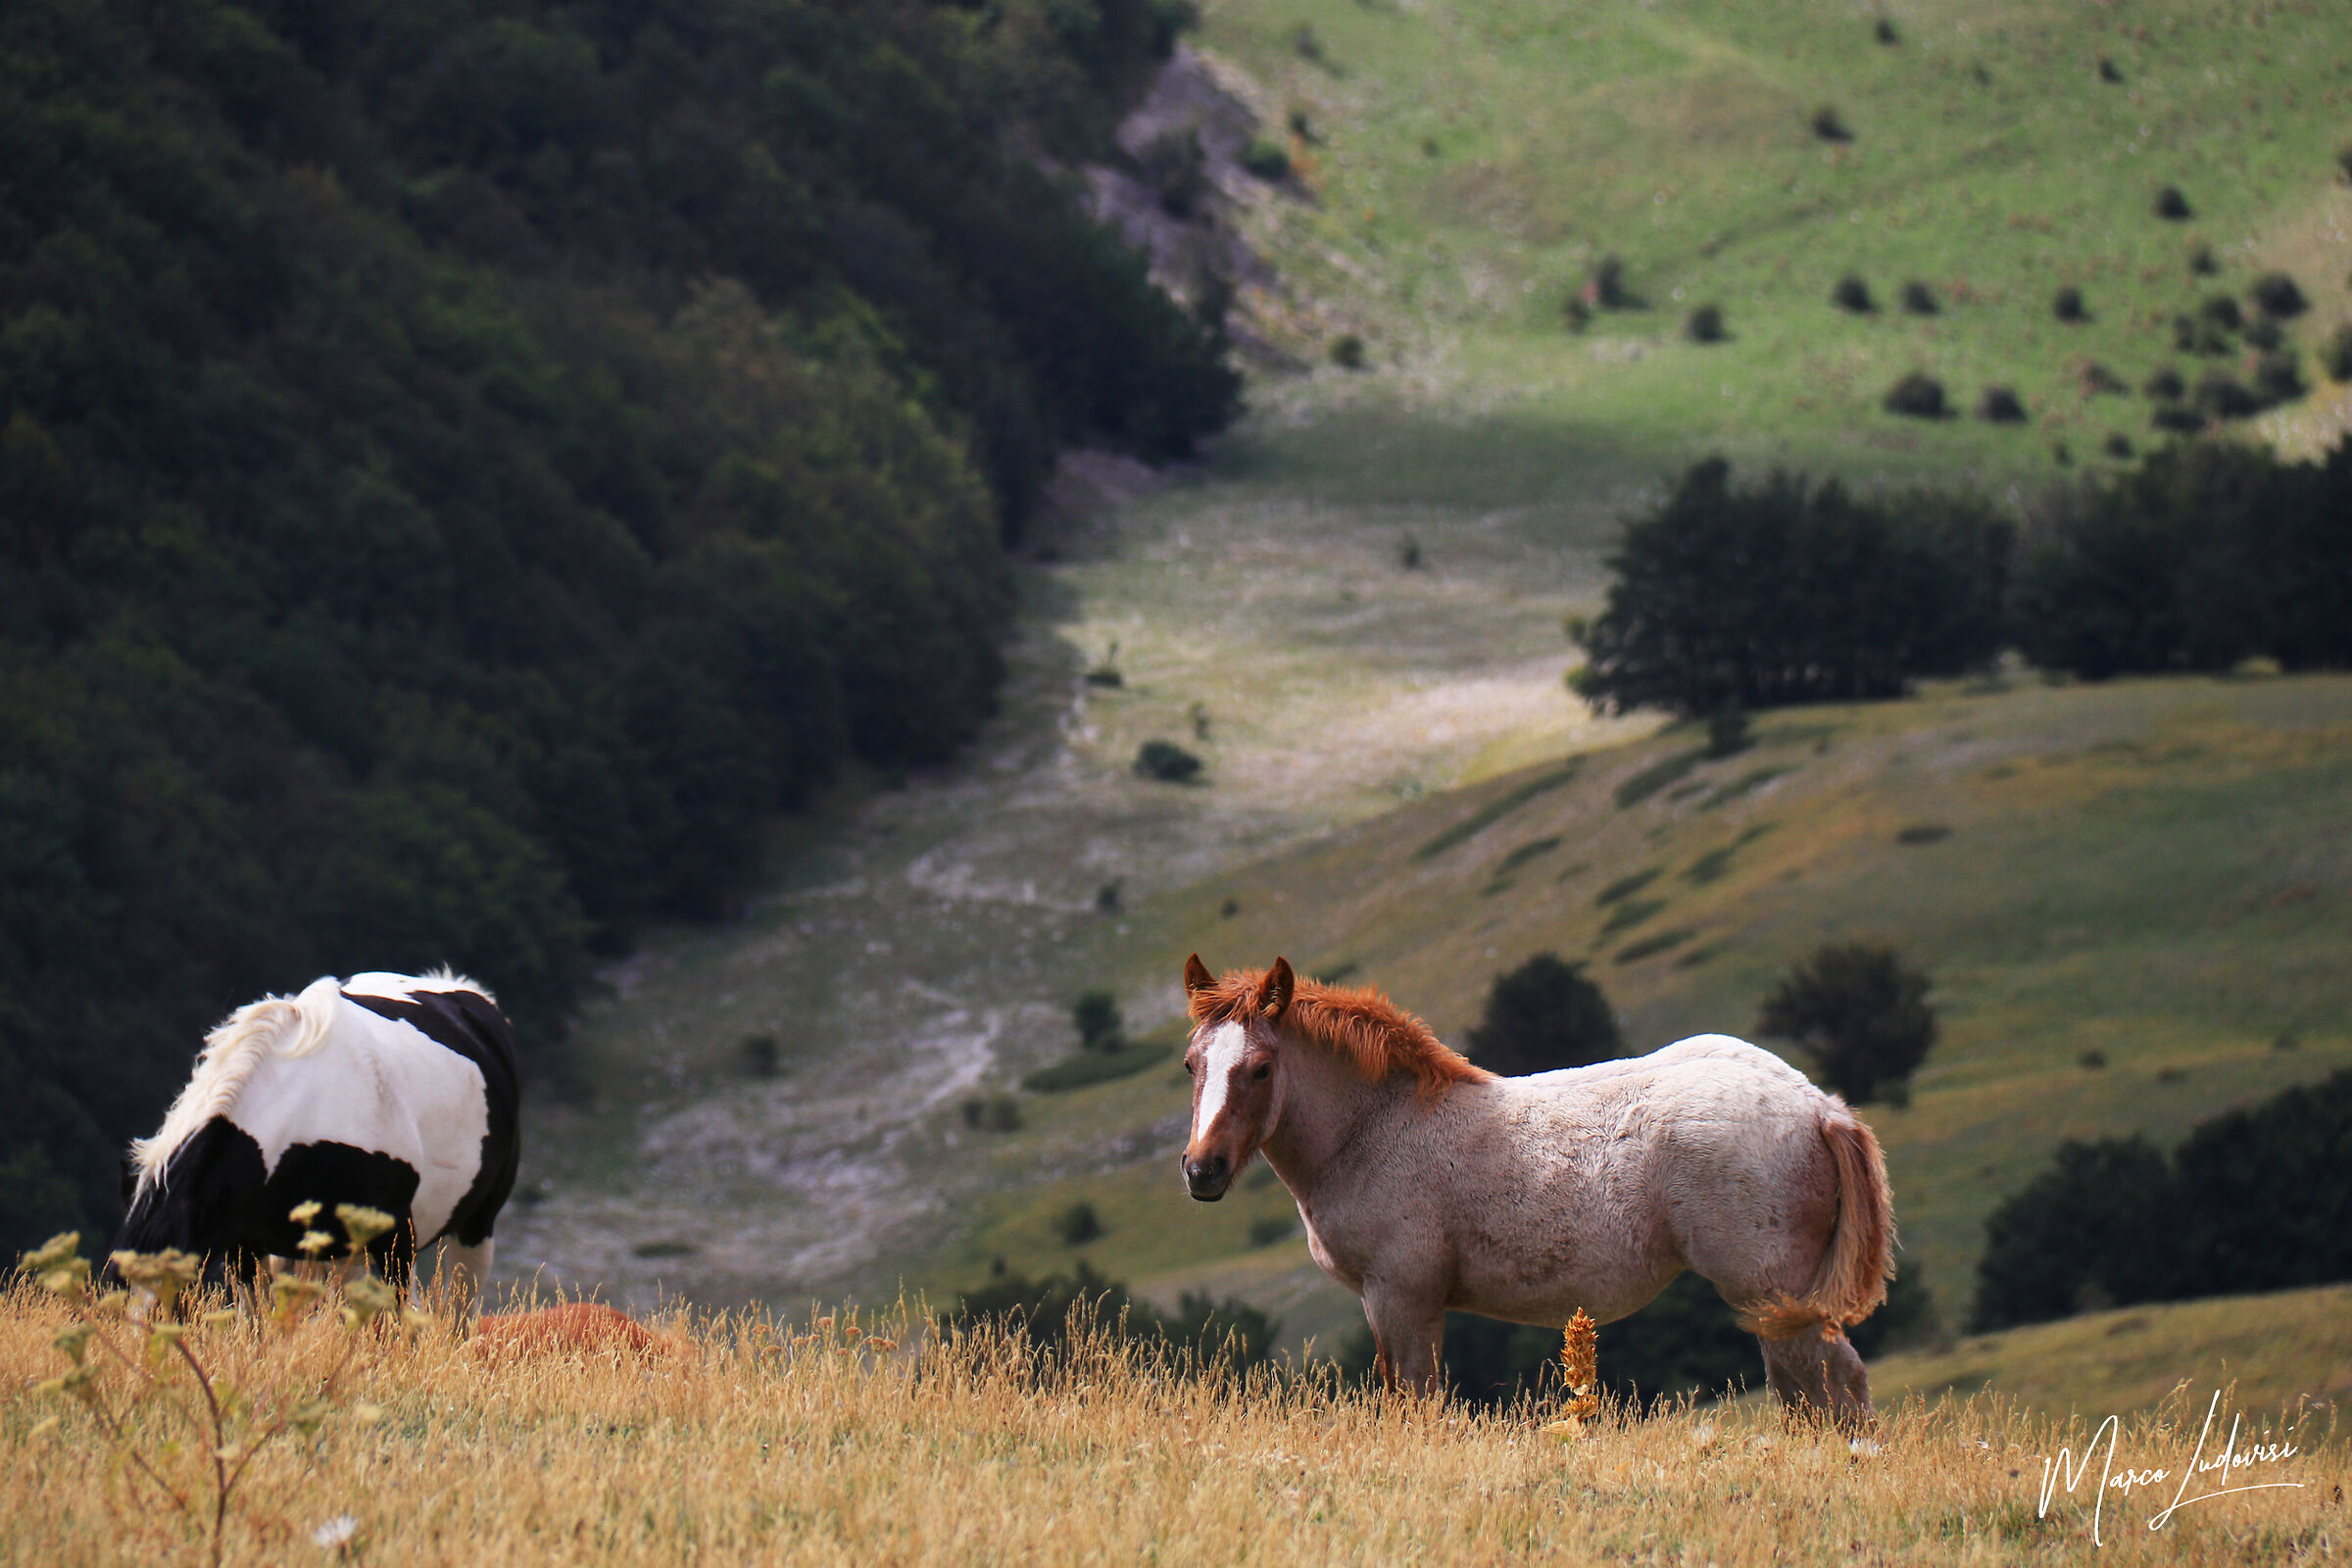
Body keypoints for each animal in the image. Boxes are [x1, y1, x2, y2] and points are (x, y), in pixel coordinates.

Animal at [1177, 955, 1894, 1427]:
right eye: (1192, 1065)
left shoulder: (1401, 1297)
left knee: (1828, 1384)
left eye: (1261, 1069)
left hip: (1771, 1296)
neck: (1376, 1127)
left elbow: (1415, 1403)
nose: (1202, 1168)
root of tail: (1819, 1108)